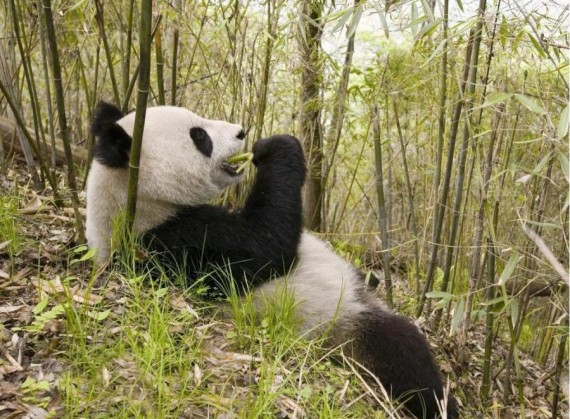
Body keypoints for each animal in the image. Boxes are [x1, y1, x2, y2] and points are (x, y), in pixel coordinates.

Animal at [85, 102, 458, 419]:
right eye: (199, 136)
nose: (242, 132)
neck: (135, 201)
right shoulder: (174, 243)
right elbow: (266, 246)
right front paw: (276, 147)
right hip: (339, 325)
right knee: (403, 352)